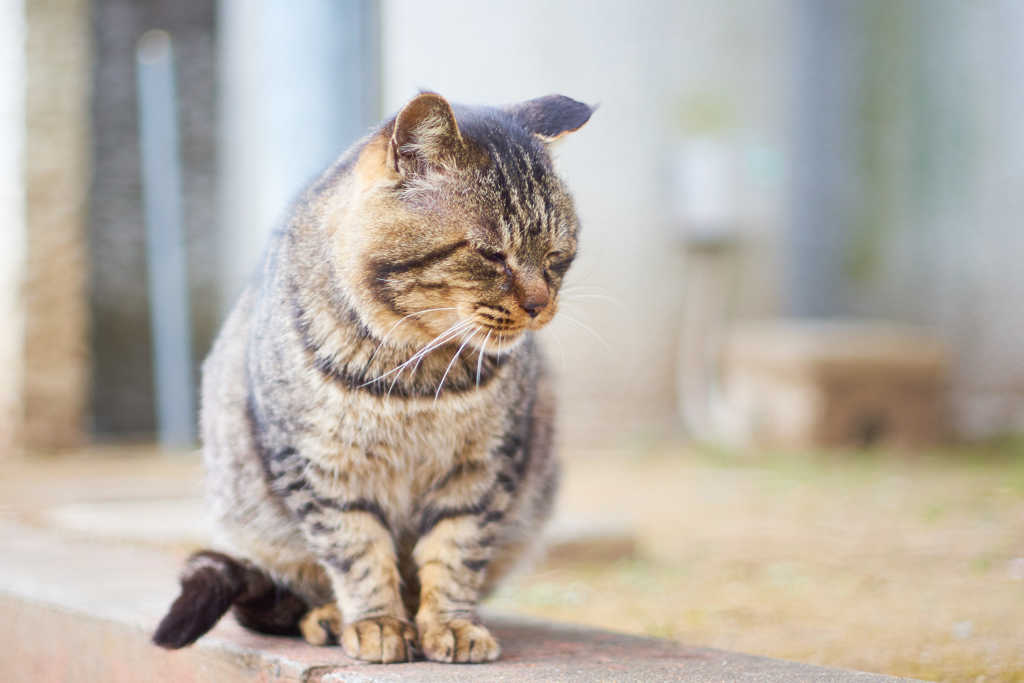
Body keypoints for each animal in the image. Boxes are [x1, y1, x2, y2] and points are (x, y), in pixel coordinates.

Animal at [151, 90, 593, 663]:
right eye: (491, 254)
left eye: (558, 256)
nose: (541, 305)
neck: (419, 375)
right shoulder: (322, 470)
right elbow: (357, 552)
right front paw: (378, 622)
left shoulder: (482, 468)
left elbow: (456, 550)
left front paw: (451, 624)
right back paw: (328, 617)